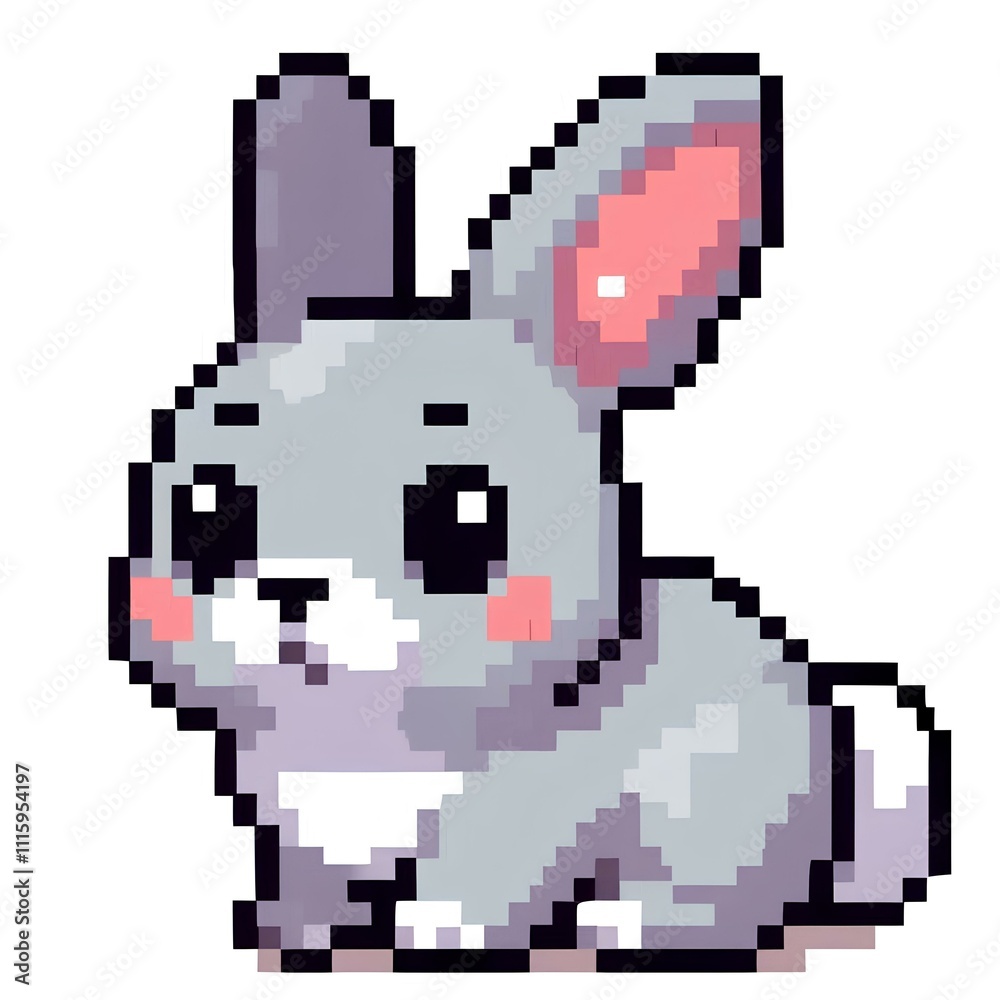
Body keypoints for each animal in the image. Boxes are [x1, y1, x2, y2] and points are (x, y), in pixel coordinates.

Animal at [109, 51, 950, 974]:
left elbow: (490, 868)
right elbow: (309, 881)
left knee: (729, 900)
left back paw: (629, 926)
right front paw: (287, 933)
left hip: (710, 818)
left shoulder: (539, 808)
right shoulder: (298, 834)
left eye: (461, 520)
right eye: (206, 508)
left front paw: (438, 933)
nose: (292, 592)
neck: (358, 740)